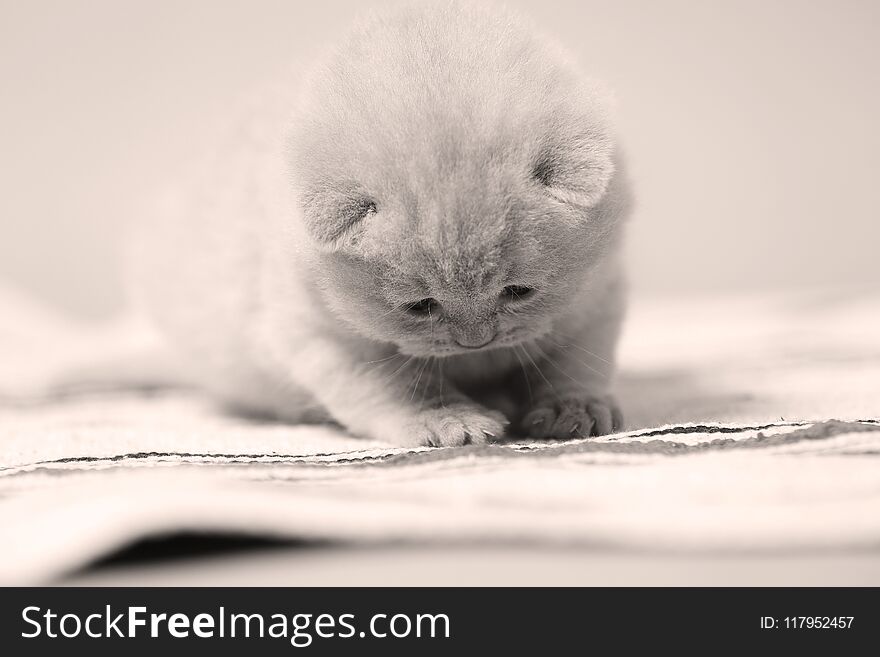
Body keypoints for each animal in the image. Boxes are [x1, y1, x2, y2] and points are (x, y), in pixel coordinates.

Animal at [129, 0, 632, 446]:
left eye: (519, 292)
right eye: (420, 307)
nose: (475, 341)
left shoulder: (596, 297)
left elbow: (572, 364)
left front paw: (575, 408)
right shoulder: (319, 335)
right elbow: (406, 387)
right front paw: (451, 421)